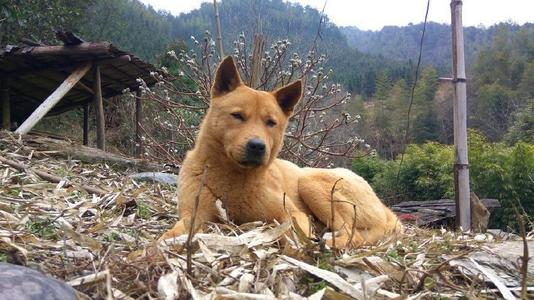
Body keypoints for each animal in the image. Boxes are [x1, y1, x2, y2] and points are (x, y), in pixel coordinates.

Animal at [160, 56, 402, 248]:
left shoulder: (292, 214)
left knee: (353, 234)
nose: (257, 146)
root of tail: (385, 209)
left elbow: (293, 233)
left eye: (271, 122)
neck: (233, 180)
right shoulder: (194, 217)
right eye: (237, 116)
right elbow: (169, 235)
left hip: (310, 181)